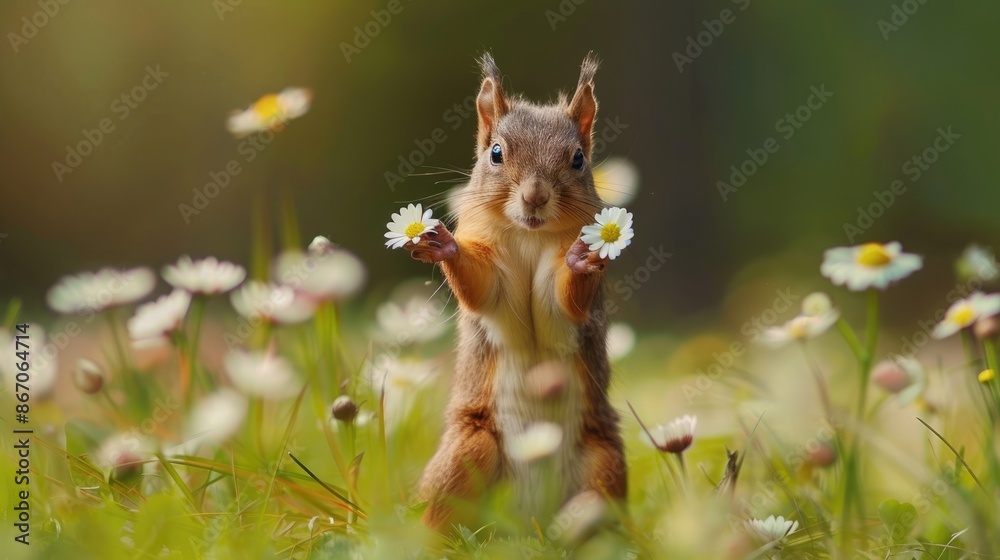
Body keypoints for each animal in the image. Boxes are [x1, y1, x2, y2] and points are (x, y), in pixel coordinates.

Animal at [402, 52, 626, 532]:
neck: (528, 236)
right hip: (468, 451)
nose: (535, 196)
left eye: (578, 158)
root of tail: (527, 520)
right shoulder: (491, 263)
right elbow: (482, 289)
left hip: (604, 459)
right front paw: (442, 245)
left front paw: (584, 260)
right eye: (496, 153)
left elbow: (567, 299)